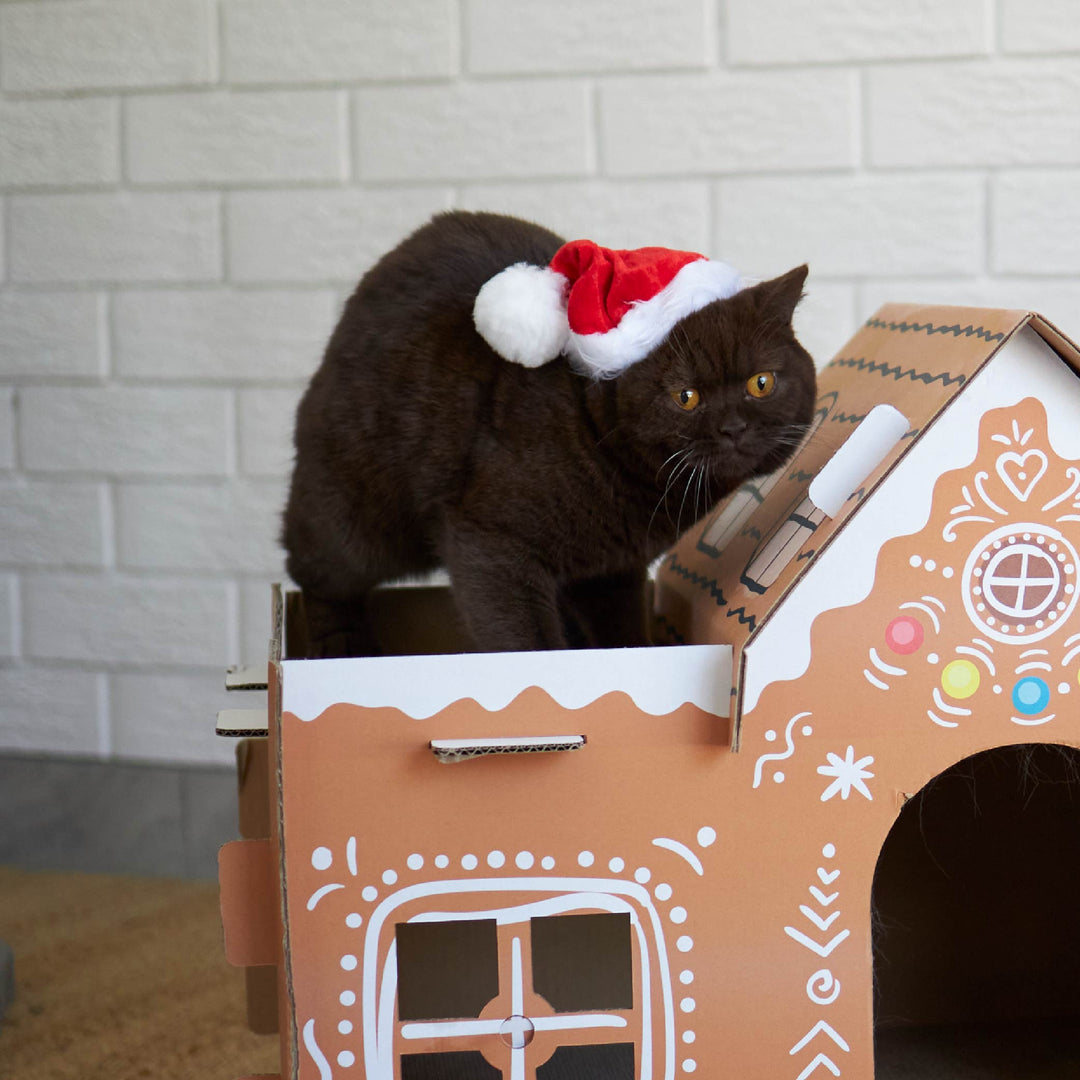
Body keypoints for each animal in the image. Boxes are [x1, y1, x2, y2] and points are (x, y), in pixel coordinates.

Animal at [282, 208, 812, 648]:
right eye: (686, 396)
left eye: (761, 383)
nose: (733, 427)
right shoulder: (490, 543)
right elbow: (525, 642)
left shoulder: (612, 572)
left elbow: (621, 632)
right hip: (357, 516)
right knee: (314, 574)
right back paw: (343, 648)